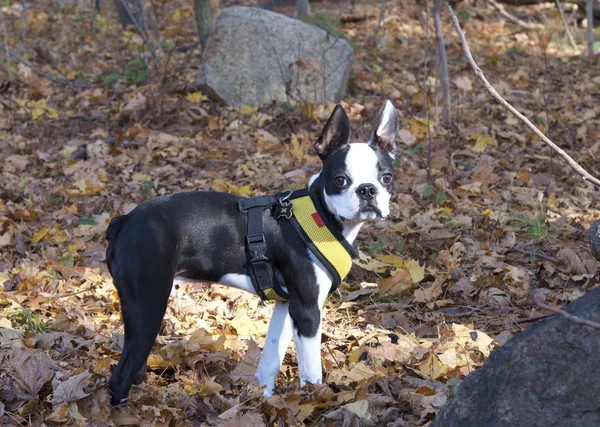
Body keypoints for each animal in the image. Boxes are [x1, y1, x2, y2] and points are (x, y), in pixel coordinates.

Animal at [106, 100, 400, 404]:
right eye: (340, 180)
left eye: (386, 177)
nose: (368, 190)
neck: (321, 215)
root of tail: (125, 220)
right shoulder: (307, 310)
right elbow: (311, 372)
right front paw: (314, 401)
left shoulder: (287, 304)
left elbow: (271, 356)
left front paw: (264, 397)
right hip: (148, 305)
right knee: (120, 376)